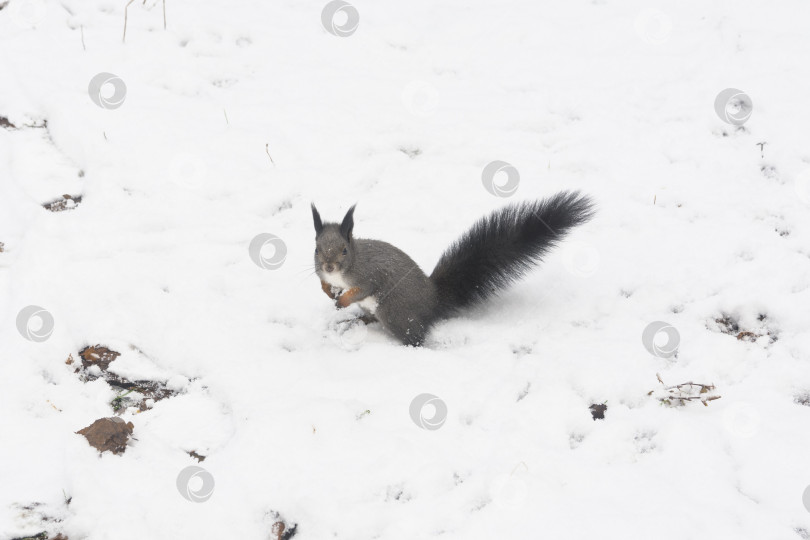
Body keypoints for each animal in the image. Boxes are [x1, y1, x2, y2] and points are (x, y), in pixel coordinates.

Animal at [312, 192, 592, 348]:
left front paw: (343, 300)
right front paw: (328, 292)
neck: (345, 270)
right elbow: (324, 284)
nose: (328, 266)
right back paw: (356, 320)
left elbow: (361, 290)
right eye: (316, 249)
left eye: (344, 250)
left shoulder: (370, 274)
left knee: (415, 338)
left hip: (395, 312)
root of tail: (432, 300)